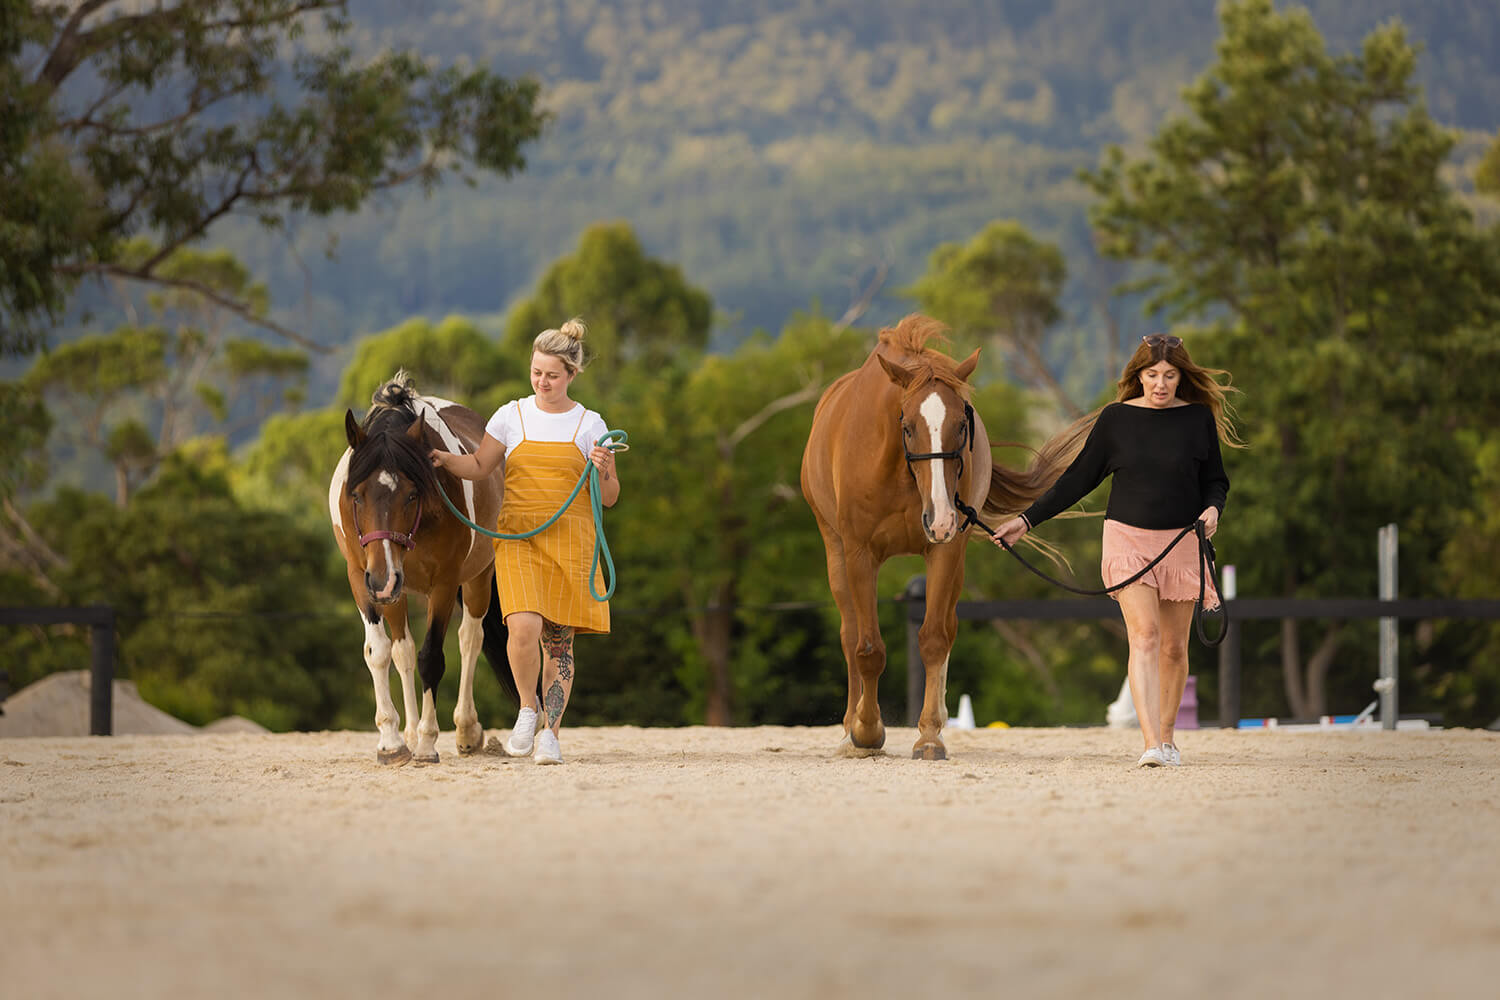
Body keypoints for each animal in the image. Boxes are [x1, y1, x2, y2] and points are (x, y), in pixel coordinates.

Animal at [329, 372, 514, 765]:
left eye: (412, 494)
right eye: (356, 496)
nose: (382, 580)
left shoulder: (444, 583)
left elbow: (432, 657)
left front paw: (429, 743)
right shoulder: (362, 581)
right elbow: (380, 652)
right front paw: (391, 741)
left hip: (476, 578)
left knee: (470, 639)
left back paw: (465, 731)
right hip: (395, 591)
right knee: (402, 652)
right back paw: (411, 733)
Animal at [800, 314, 1091, 760]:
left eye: (962, 423)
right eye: (907, 426)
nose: (940, 517)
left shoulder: (946, 551)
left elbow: (935, 638)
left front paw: (930, 735)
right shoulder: (859, 554)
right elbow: (868, 649)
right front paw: (866, 731)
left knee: (946, 630)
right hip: (836, 554)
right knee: (850, 636)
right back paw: (850, 730)